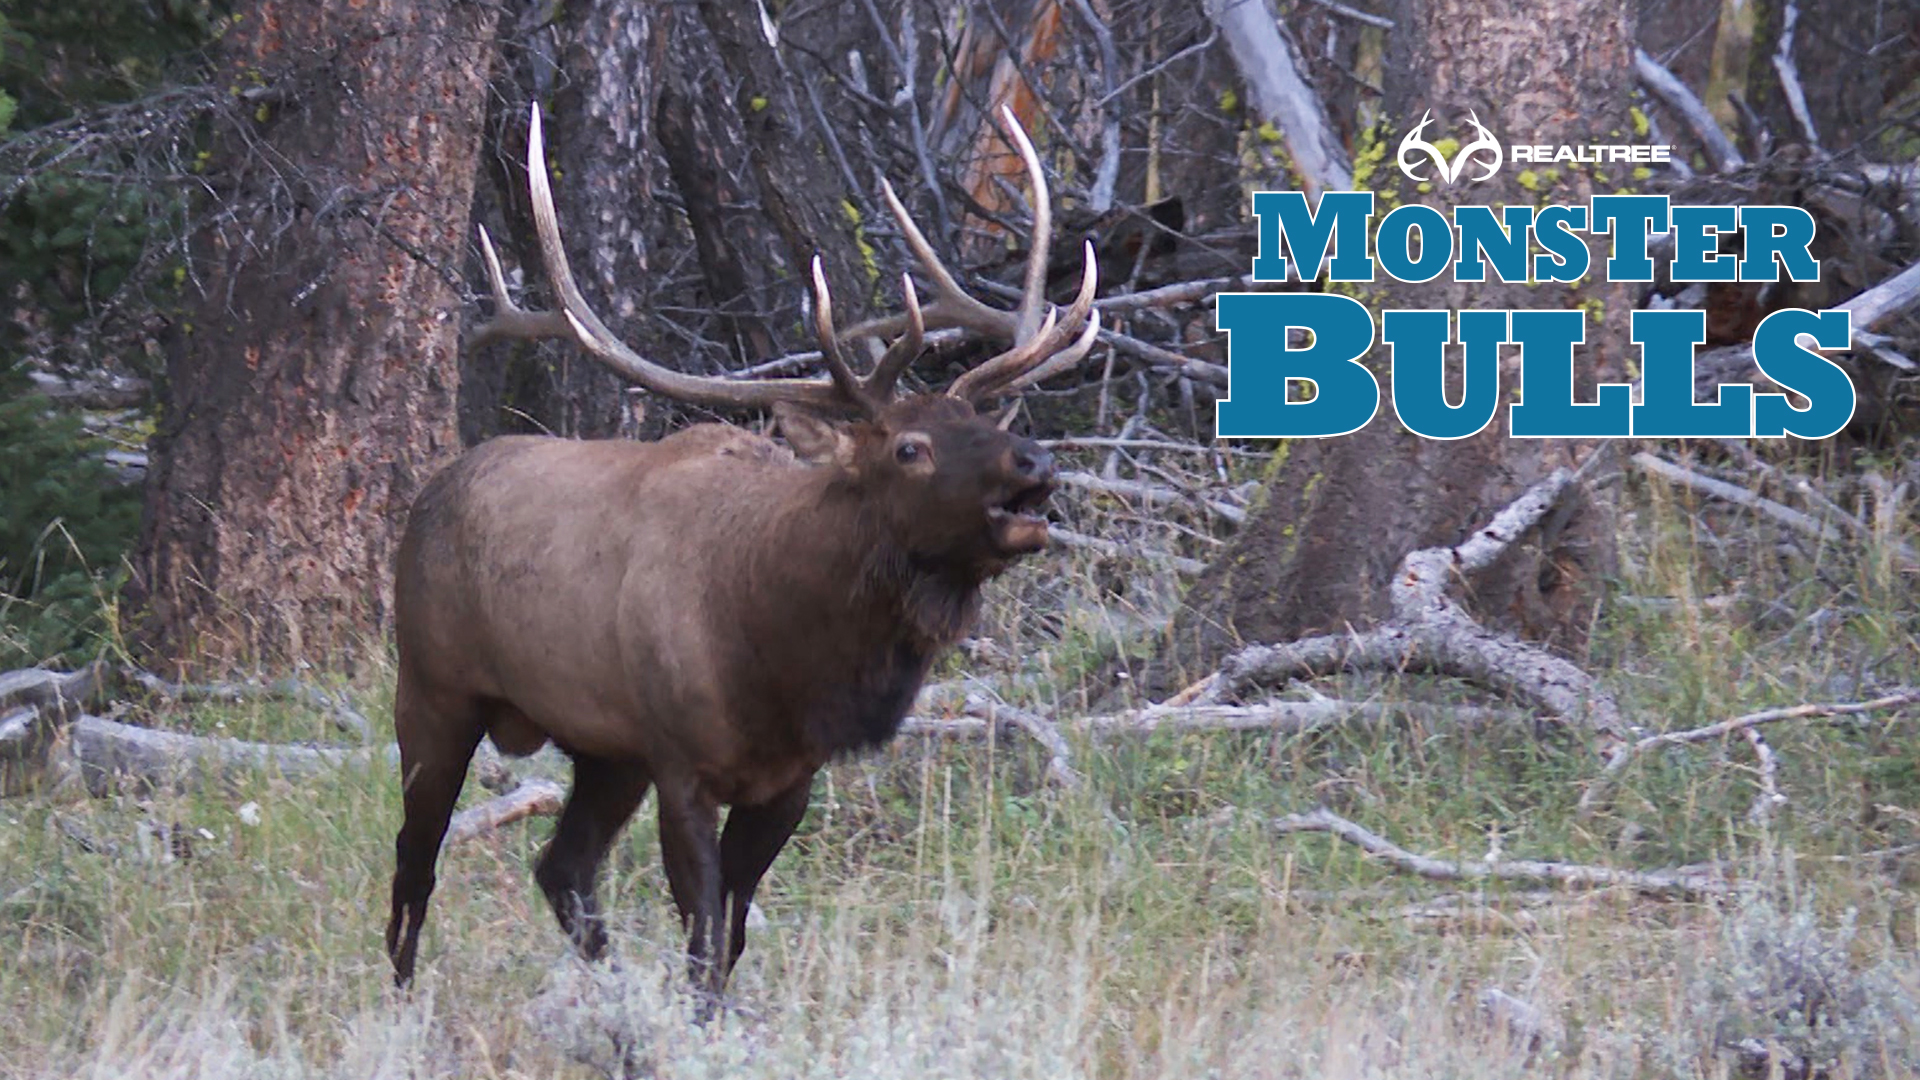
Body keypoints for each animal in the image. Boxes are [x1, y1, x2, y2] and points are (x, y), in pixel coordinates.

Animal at [385, 103, 1100, 1002]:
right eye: (909, 448)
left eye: (986, 421)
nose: (1034, 464)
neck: (779, 653)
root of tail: (430, 494)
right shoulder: (682, 762)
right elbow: (702, 936)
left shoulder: (787, 778)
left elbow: (729, 937)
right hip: (434, 687)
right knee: (415, 862)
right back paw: (404, 1000)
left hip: (606, 749)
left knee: (561, 868)